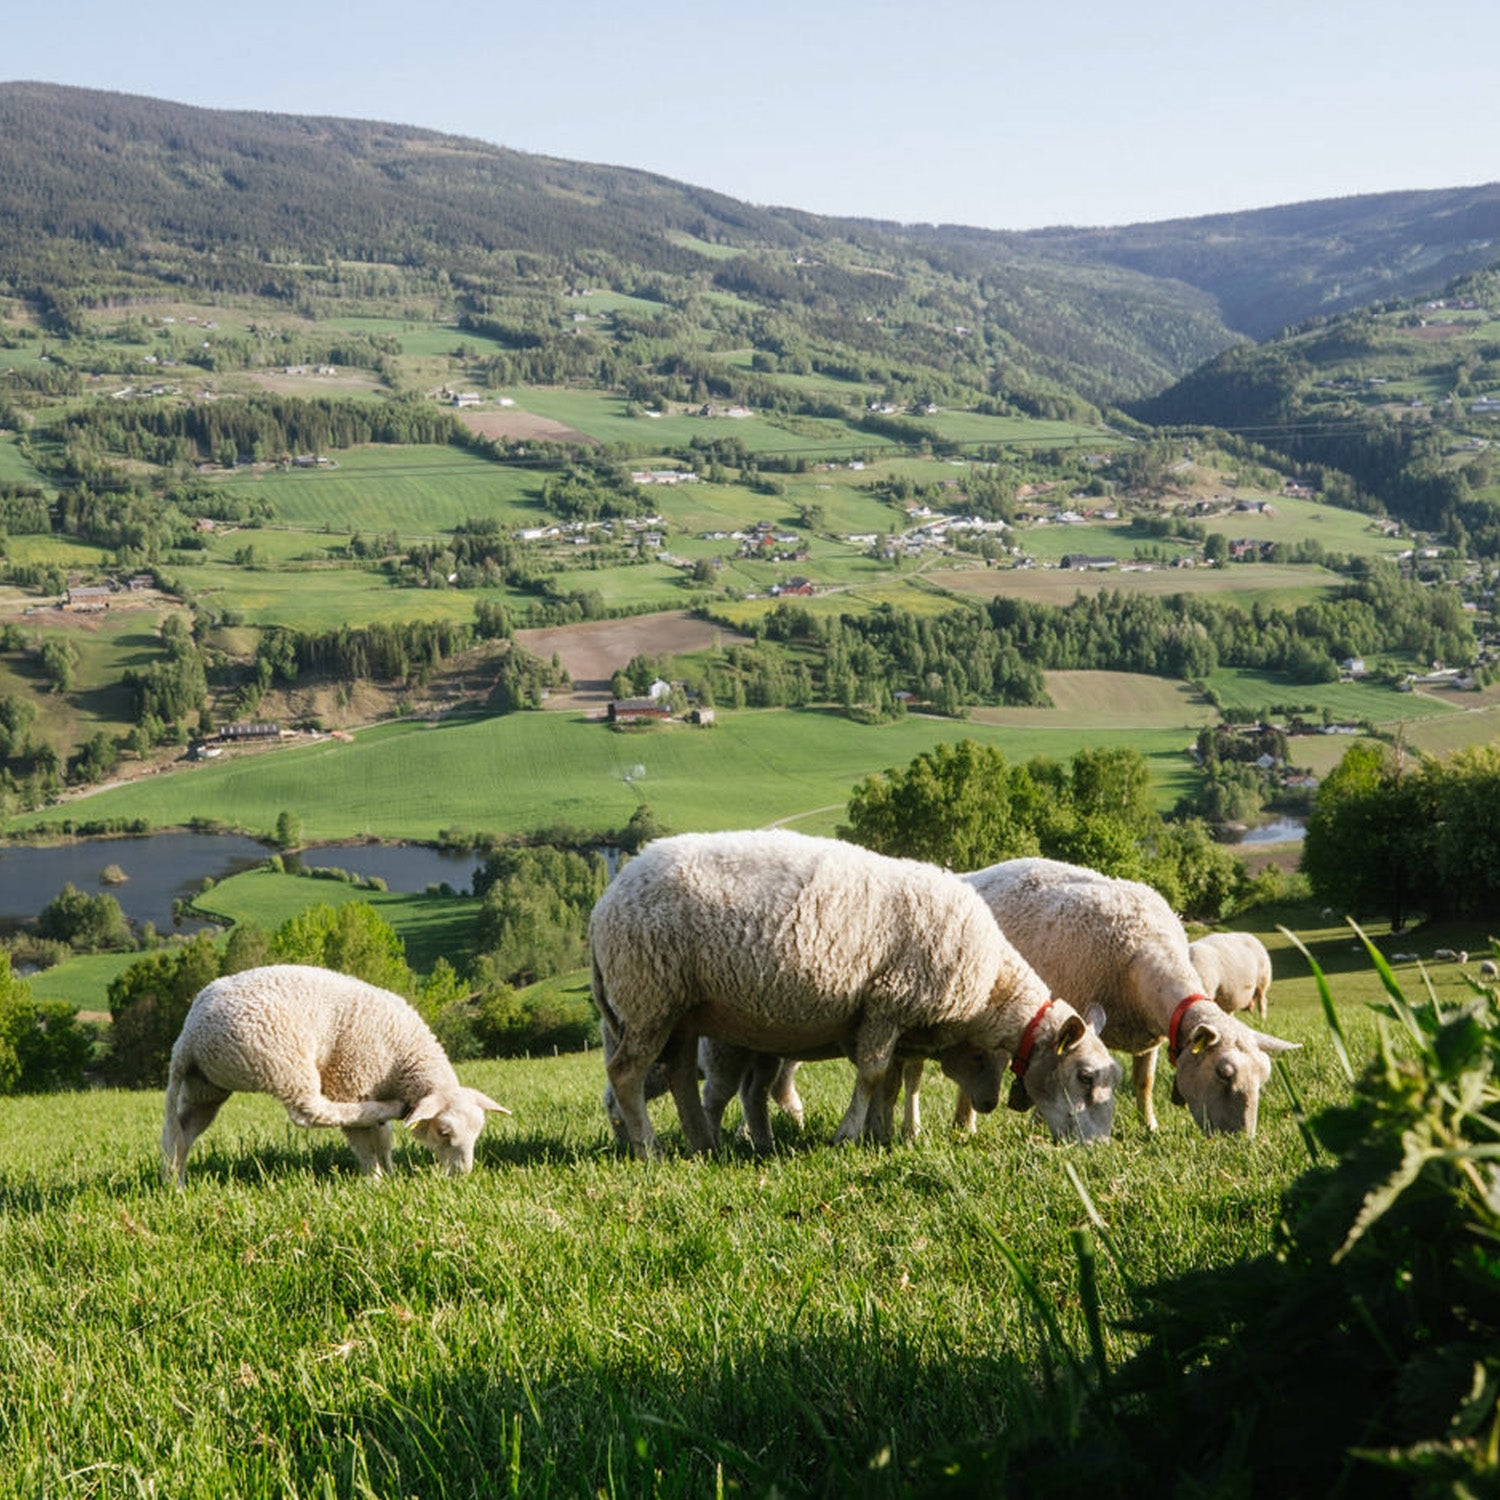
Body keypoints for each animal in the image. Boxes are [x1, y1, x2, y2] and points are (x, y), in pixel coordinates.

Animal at [162, 964, 509, 1181]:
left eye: (478, 1131)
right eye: (444, 1132)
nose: (462, 1175)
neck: (406, 1058)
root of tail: (188, 1037)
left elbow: (383, 1140)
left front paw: (390, 1173)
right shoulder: (352, 1079)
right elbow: (364, 1139)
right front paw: (376, 1178)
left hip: (208, 1083)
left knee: (183, 1131)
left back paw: (176, 1185)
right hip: (281, 1061)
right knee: (311, 1112)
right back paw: (391, 1108)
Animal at [589, 830, 1119, 1158]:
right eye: (1084, 1076)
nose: (1100, 1149)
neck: (990, 983)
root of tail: (607, 899)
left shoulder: (895, 1019)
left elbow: (890, 1083)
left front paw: (880, 1134)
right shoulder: (887, 1002)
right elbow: (873, 1075)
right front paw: (850, 1135)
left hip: (678, 1007)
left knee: (678, 1073)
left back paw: (702, 1143)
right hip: (647, 996)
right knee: (627, 1075)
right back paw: (649, 1149)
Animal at [924, 858, 1298, 1138]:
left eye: (1264, 1078)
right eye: (1224, 1073)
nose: (1242, 1140)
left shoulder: (1150, 1036)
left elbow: (1143, 1083)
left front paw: (1150, 1126)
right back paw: (964, 1126)